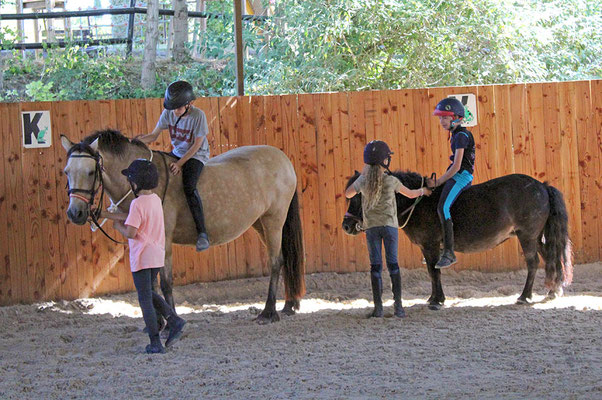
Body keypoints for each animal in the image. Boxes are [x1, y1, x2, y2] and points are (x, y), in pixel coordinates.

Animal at [61, 130, 304, 324]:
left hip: (273, 222)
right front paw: (158, 321)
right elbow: (150, 284)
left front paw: (172, 319)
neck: (145, 180)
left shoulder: (163, 241)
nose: (76, 213)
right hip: (261, 224)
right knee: (284, 259)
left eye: (91, 171)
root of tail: (283, 159)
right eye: (66, 171)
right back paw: (288, 305)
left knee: (276, 262)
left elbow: (166, 283)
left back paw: (269, 312)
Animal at [342, 170, 572, 310]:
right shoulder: (427, 247)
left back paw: (525, 296)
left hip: (527, 236)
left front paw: (437, 300)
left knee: (533, 263)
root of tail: (542, 185)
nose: (346, 226)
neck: (418, 203)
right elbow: (431, 272)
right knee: (550, 259)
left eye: (360, 196)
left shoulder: (431, 245)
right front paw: (433, 298)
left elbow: (434, 271)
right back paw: (553, 291)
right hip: (535, 237)